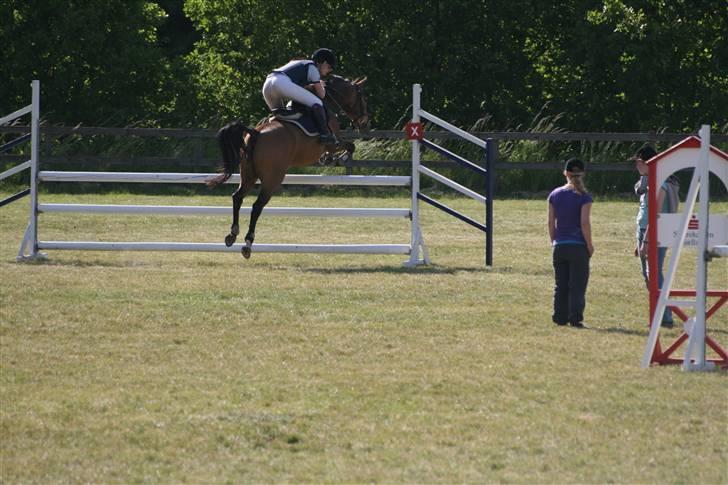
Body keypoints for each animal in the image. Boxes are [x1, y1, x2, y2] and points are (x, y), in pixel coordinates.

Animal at [208, 74, 372, 258]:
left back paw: (232, 234)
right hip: (273, 179)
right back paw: (248, 243)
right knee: (257, 206)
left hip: (248, 174)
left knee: (237, 197)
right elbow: (350, 145)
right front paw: (340, 158)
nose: (366, 124)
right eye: (363, 98)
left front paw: (328, 159)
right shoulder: (332, 142)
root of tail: (256, 133)